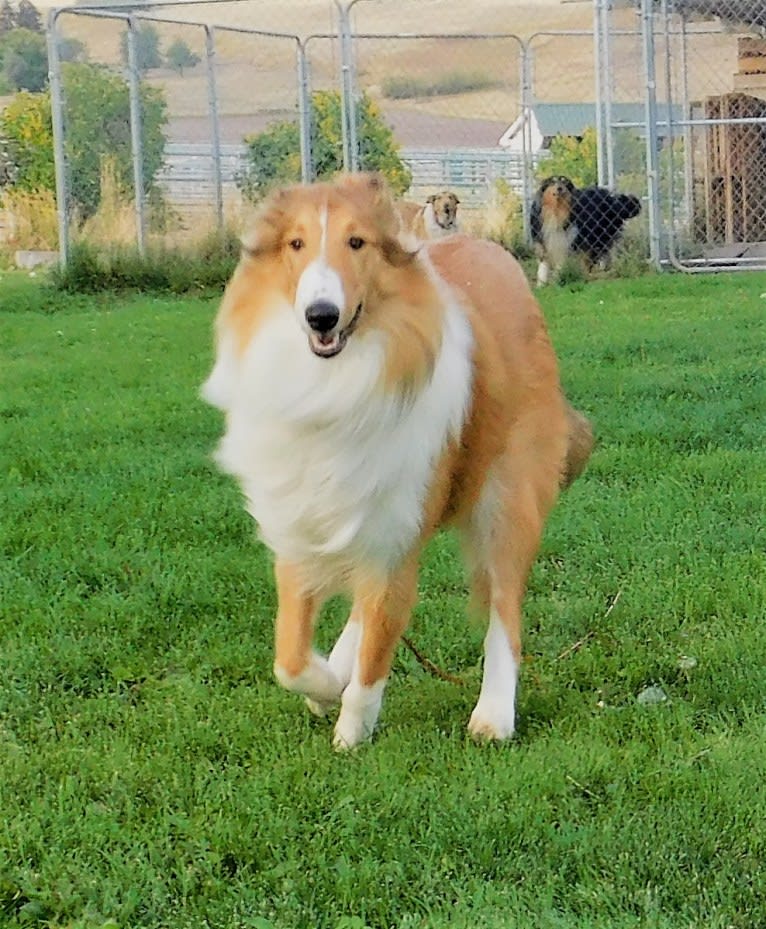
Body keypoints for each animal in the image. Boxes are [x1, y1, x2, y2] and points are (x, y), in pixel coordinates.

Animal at [204, 174, 592, 752]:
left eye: (357, 243)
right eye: (295, 244)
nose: (321, 315)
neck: (337, 381)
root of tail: (495, 255)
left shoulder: (396, 533)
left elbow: (376, 652)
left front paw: (351, 729)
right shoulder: (299, 525)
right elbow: (290, 658)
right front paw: (326, 684)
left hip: (506, 496)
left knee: (504, 610)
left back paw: (493, 716)